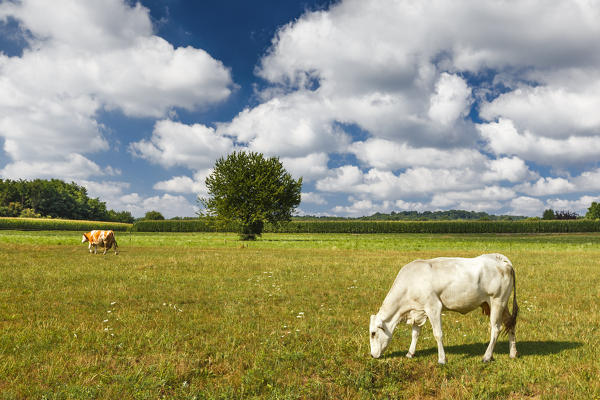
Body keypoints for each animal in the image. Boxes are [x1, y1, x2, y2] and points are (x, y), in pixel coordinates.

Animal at [368, 255, 516, 364]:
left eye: (373, 333)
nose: (372, 355)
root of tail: (499, 258)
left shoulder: (433, 307)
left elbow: (438, 334)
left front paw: (441, 359)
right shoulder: (418, 311)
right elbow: (415, 333)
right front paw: (410, 353)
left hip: (497, 301)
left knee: (496, 328)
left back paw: (487, 356)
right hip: (500, 304)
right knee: (510, 323)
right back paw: (513, 353)